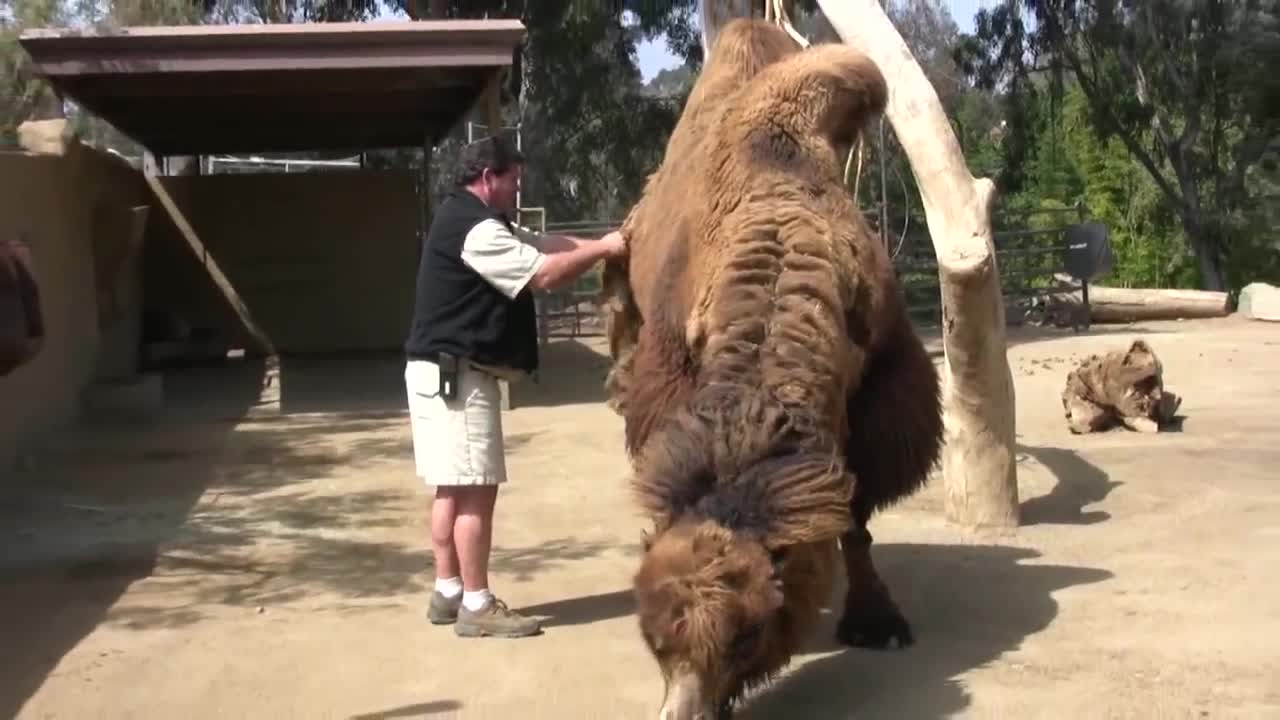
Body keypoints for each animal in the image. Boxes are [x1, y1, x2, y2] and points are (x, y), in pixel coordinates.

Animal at [596, 16, 942, 717]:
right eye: (652, 637)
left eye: (748, 633)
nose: (686, 711)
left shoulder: (878, 388)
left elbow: (854, 517)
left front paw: (877, 621)